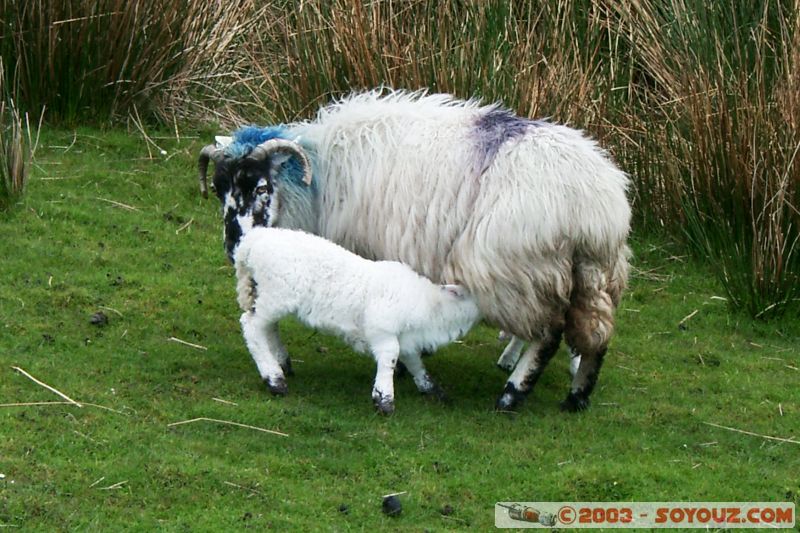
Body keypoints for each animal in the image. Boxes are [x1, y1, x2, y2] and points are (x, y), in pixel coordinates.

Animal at [235, 226, 481, 414]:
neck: (430, 305)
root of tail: (253, 240)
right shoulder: (382, 330)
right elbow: (390, 357)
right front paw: (384, 399)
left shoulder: (405, 336)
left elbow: (413, 361)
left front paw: (430, 387)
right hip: (277, 294)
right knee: (251, 326)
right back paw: (274, 379)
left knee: (268, 327)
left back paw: (281, 364)